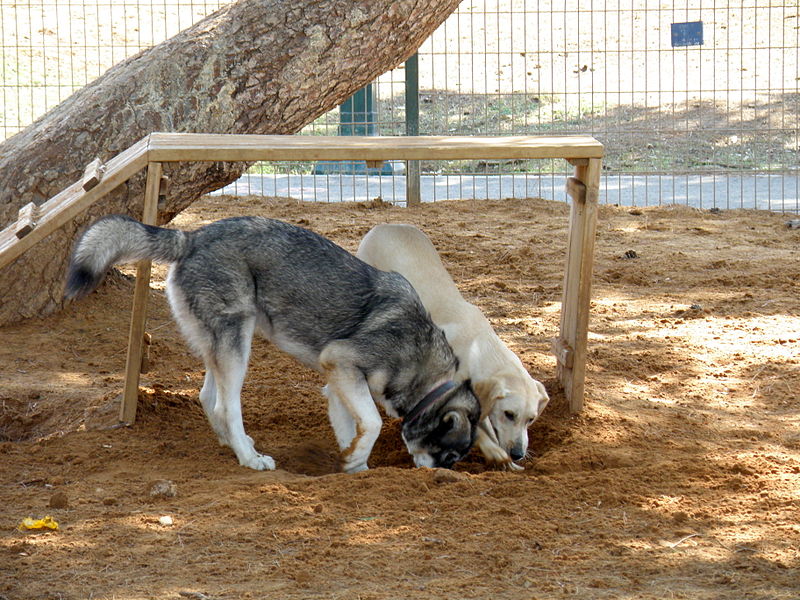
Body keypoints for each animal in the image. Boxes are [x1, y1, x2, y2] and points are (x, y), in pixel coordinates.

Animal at [65, 216, 478, 474]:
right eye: (451, 454)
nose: (442, 476)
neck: (421, 359)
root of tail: (193, 237)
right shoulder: (341, 361)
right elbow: (374, 423)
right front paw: (357, 460)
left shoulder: (338, 383)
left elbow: (355, 428)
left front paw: (353, 466)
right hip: (238, 344)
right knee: (225, 404)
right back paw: (250, 458)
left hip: (222, 346)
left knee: (208, 398)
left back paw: (234, 445)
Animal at [358, 224, 552, 468]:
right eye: (509, 414)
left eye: (531, 419)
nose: (518, 453)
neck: (479, 347)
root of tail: (385, 225)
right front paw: (494, 451)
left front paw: (508, 462)